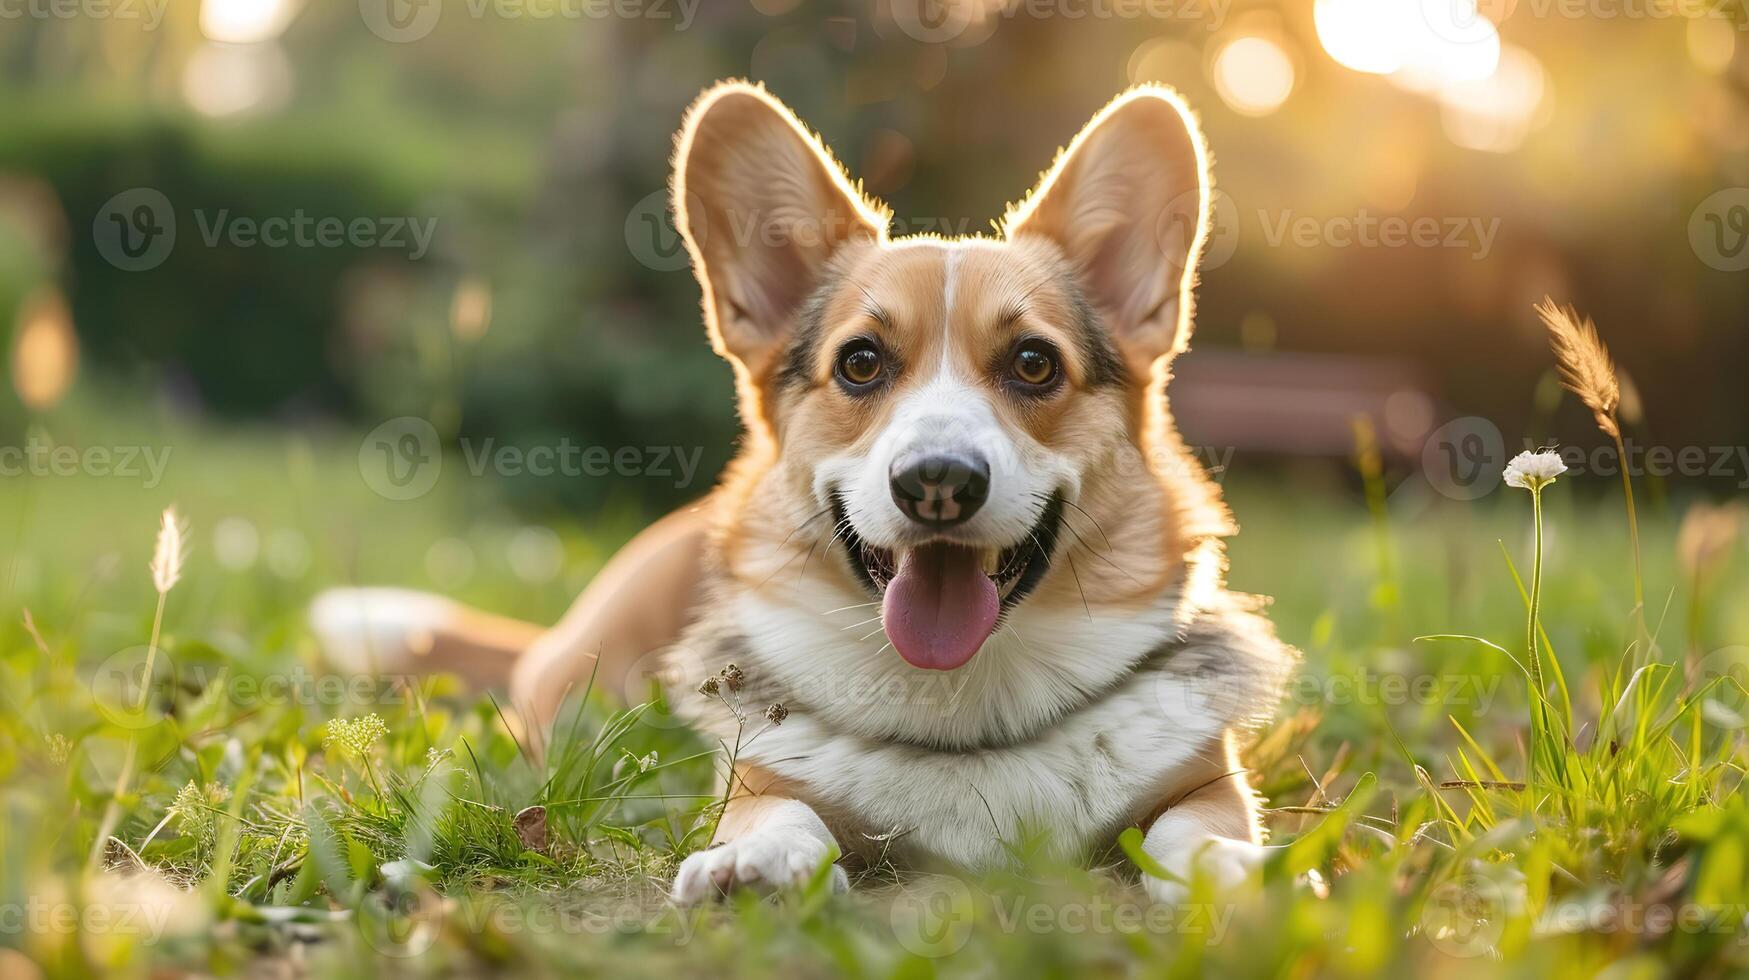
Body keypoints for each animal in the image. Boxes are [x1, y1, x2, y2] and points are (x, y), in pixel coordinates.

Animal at [314, 80, 1301, 910]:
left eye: (1033, 363)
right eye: (859, 364)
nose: (937, 481)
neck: (964, 706)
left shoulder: (1206, 780)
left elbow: (1192, 832)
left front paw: (1237, 870)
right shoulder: (757, 775)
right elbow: (783, 813)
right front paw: (751, 863)